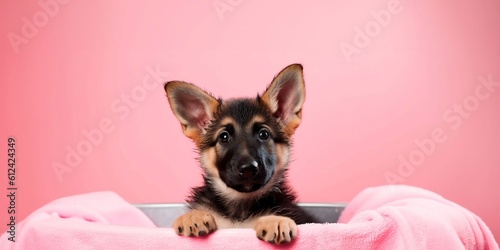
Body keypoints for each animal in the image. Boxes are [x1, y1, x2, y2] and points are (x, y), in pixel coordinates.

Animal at [165, 63, 316, 244]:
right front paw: (193, 216)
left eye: (264, 134)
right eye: (224, 137)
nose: (248, 168)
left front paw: (275, 220)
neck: (239, 207)